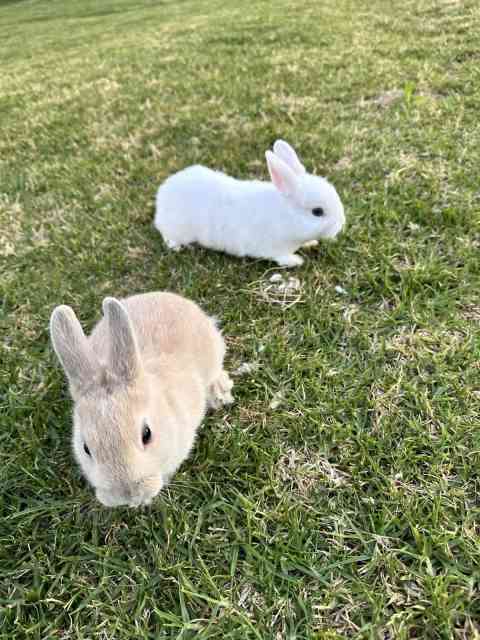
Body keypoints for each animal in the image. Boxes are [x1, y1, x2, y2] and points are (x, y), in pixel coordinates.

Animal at [154, 139, 345, 267]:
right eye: (317, 212)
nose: (341, 223)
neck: (286, 215)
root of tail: (163, 195)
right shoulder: (275, 249)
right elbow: (282, 258)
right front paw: (297, 261)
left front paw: (311, 243)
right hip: (178, 230)